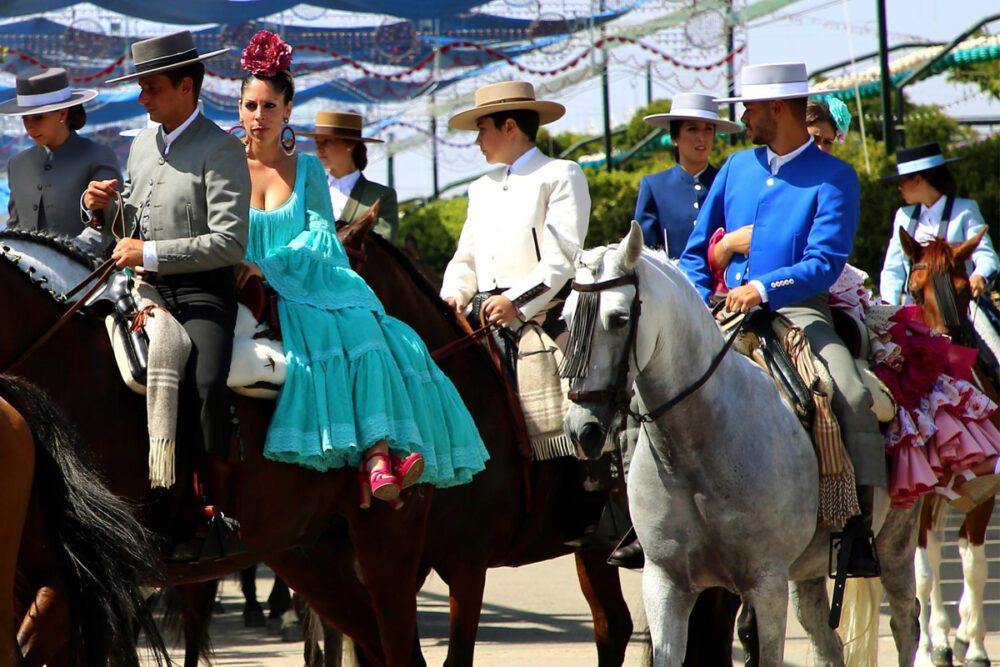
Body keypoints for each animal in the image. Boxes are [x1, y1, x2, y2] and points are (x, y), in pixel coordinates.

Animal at [560, 224, 916, 667]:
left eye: (619, 318)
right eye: (565, 317)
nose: (582, 428)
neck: (700, 446)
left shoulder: (765, 583)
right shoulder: (665, 582)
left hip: (896, 542)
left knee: (905, 622)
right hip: (810, 568)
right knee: (825, 638)